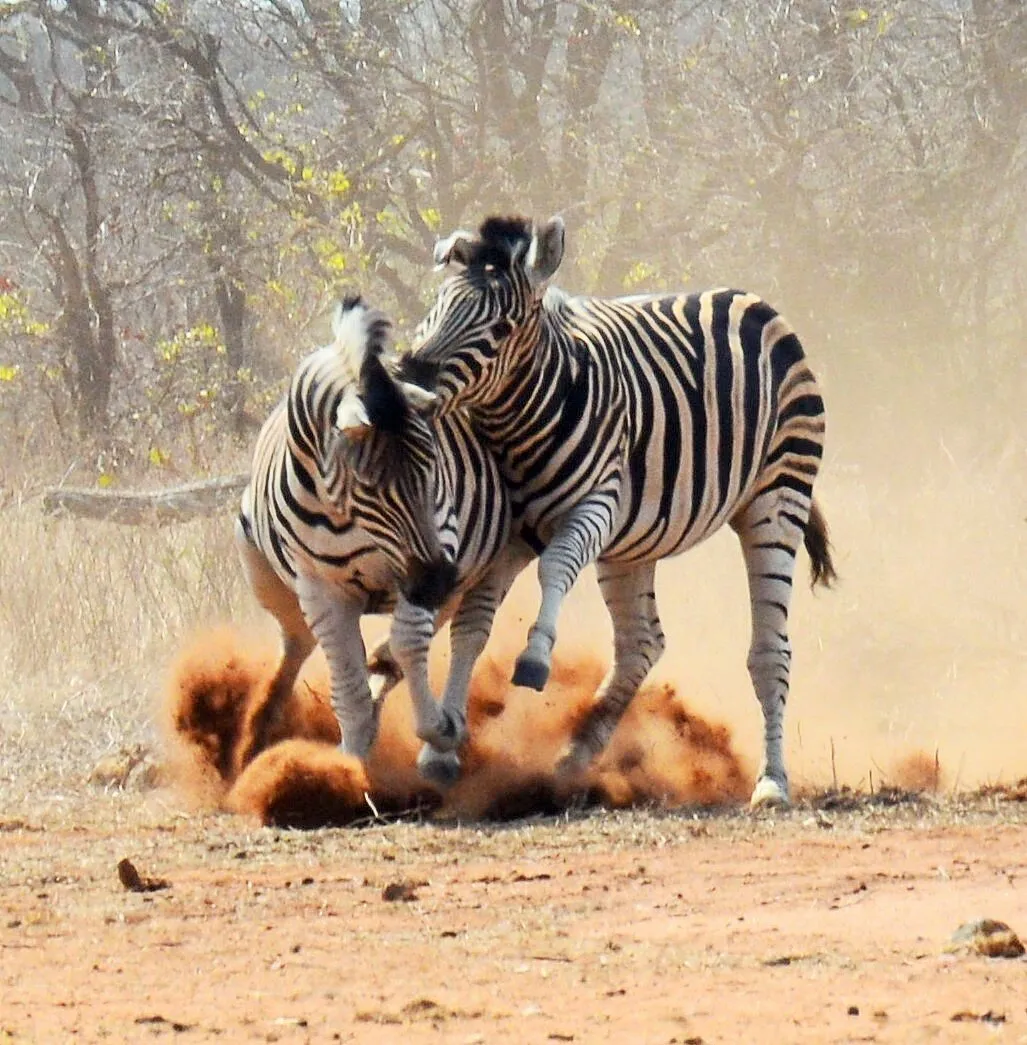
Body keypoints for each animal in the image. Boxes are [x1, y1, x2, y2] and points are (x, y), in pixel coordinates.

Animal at [235, 294, 527, 783]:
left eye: (434, 468)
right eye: (370, 485)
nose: (437, 581)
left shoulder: (436, 547)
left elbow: (410, 645)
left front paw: (438, 730)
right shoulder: (320, 588)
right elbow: (349, 687)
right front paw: (348, 763)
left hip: (490, 564)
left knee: (465, 637)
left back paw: (440, 746)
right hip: (261, 569)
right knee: (296, 641)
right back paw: (258, 733)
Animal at [399, 215, 835, 808]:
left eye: (502, 327)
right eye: (436, 306)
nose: (408, 377)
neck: (520, 425)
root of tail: (749, 299)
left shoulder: (595, 505)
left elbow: (554, 568)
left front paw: (535, 658)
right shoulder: (510, 533)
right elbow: (471, 622)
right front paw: (441, 746)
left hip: (777, 496)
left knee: (770, 651)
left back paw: (771, 782)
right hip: (635, 540)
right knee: (641, 643)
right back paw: (575, 756)